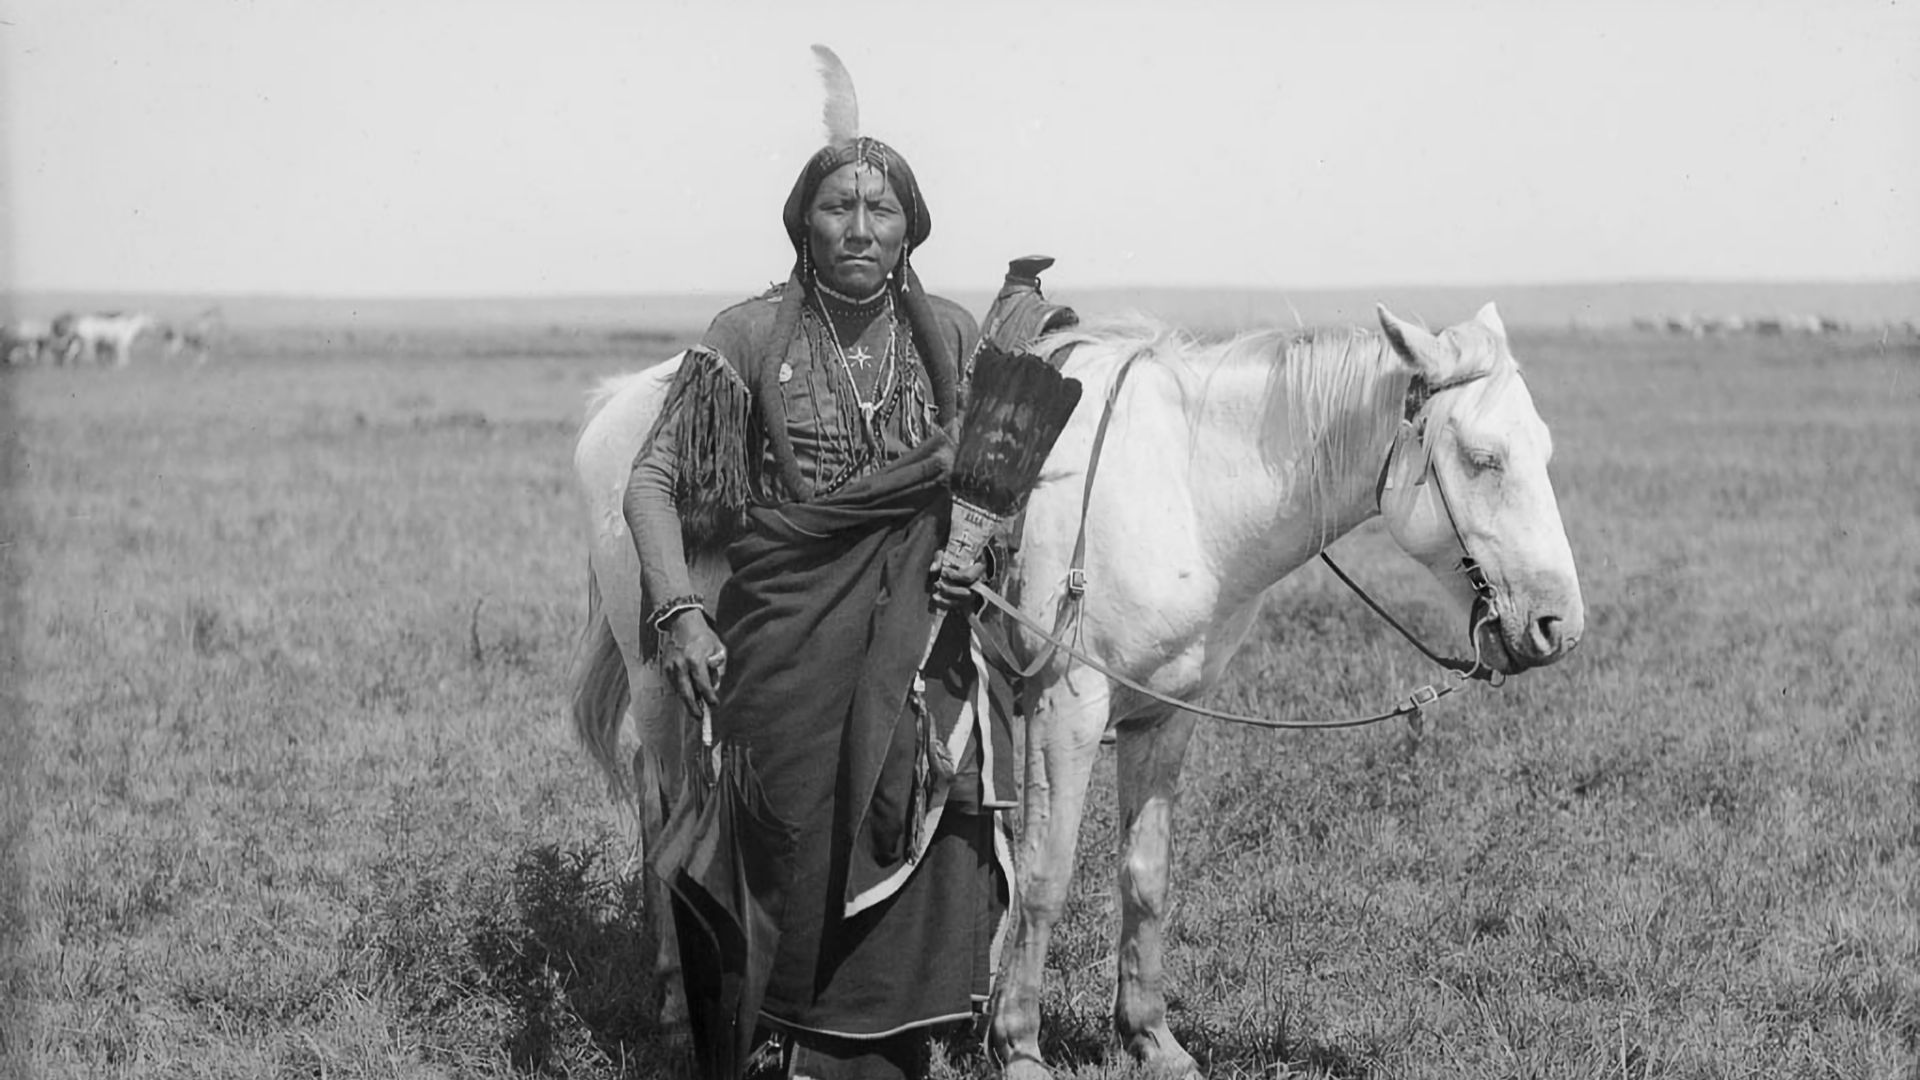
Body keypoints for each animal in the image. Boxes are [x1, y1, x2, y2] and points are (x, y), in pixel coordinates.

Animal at [568, 302, 1585, 1075]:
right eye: (1484, 458)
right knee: (669, 824)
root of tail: (624, 404)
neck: (1189, 488)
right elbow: (1048, 875)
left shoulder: (1164, 716)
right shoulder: (1068, 707)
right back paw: (681, 1004)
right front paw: (1015, 1043)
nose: (1557, 626)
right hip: (668, 677)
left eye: (1543, 448)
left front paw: (1151, 1038)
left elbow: (1146, 874)